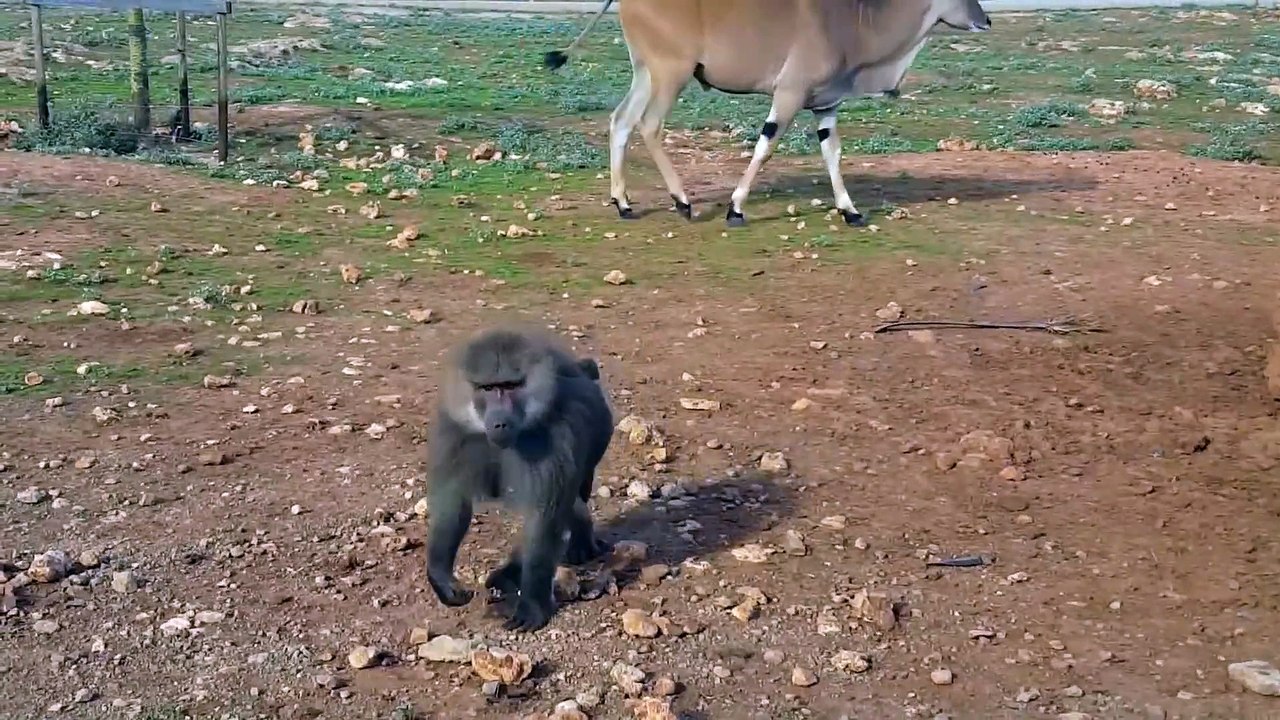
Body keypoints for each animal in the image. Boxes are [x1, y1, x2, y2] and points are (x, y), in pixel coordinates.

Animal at [424, 326, 614, 632]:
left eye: (512, 386)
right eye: (488, 388)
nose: (500, 423)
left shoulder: (553, 439)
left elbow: (543, 518)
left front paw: (532, 605)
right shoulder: (457, 433)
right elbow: (453, 504)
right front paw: (443, 580)